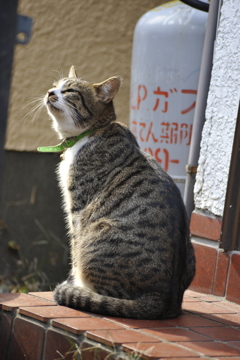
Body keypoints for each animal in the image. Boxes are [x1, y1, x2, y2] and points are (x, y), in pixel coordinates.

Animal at [41, 66, 195, 320]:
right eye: (54, 86)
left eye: (70, 91)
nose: (49, 92)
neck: (89, 135)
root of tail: (163, 299)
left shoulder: (78, 210)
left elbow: (73, 251)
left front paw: (72, 283)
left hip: (97, 234)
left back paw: (80, 291)